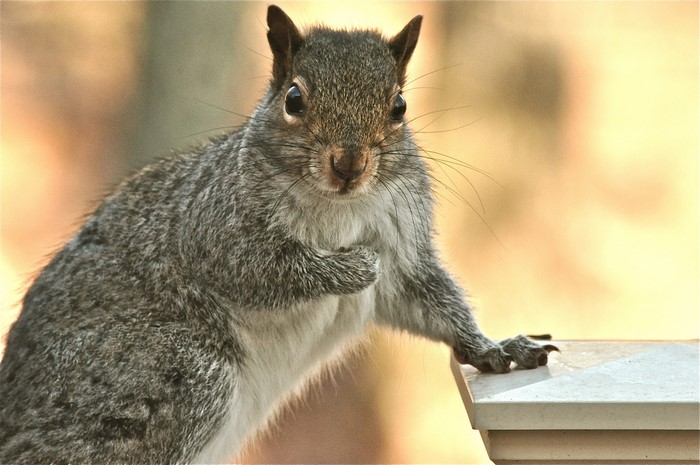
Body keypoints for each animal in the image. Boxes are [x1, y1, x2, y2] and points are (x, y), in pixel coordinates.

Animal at [0, 5, 557, 464]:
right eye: (294, 99)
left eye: (399, 106)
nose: (349, 164)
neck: (339, 205)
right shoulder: (214, 228)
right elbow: (265, 269)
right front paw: (351, 268)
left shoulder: (405, 248)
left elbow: (429, 298)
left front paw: (492, 348)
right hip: (170, 374)